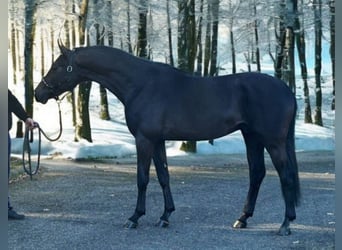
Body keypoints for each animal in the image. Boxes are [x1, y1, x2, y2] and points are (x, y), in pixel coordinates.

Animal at [34, 41, 300, 234]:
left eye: (57, 66)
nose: (39, 93)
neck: (140, 84)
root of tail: (286, 90)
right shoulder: (157, 141)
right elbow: (164, 177)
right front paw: (165, 216)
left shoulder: (144, 140)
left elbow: (142, 179)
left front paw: (134, 217)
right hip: (251, 137)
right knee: (257, 174)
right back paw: (242, 219)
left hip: (272, 141)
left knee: (285, 176)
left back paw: (285, 224)